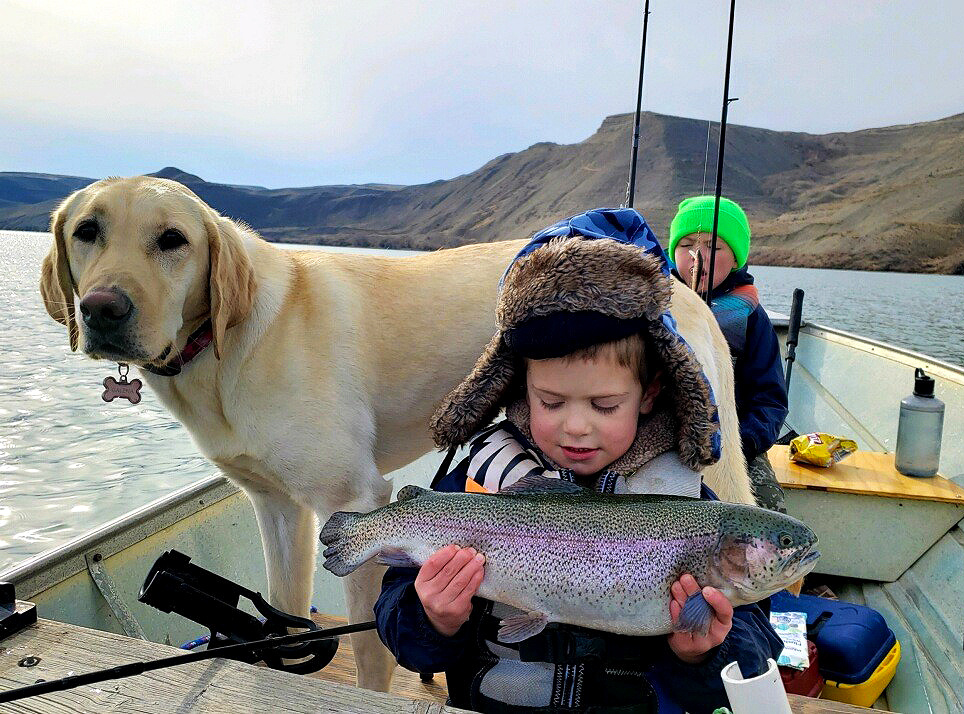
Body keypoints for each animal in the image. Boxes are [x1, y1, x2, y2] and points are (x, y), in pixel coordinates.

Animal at [39, 174, 752, 688]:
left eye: (173, 240)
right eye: (86, 231)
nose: (102, 309)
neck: (224, 347)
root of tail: (686, 293)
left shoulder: (352, 498)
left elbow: (371, 652)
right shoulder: (277, 509)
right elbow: (284, 609)